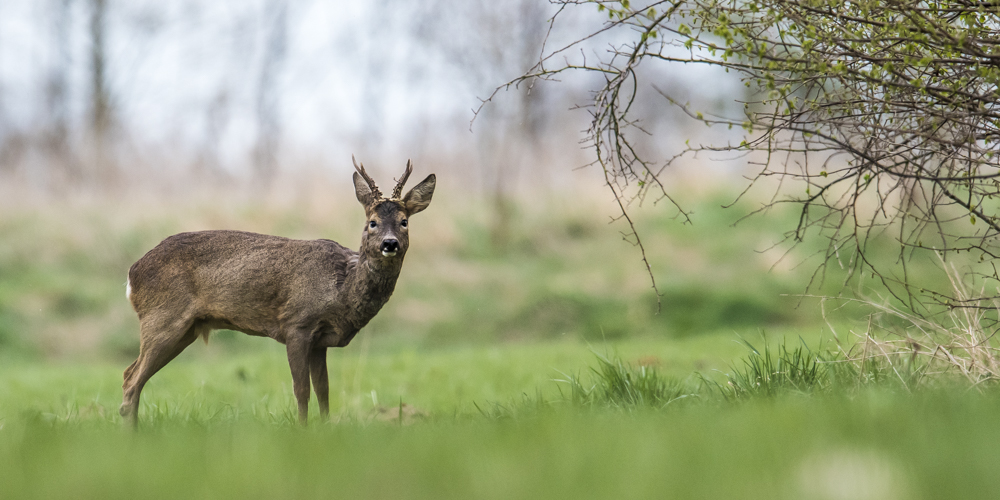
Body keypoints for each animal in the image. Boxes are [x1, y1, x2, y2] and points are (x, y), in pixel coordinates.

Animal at [120, 158, 434, 424]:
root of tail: (132, 273)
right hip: (163, 319)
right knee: (132, 380)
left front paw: (326, 429)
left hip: (186, 328)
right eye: (372, 223)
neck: (342, 289)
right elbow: (301, 389)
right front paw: (303, 430)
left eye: (404, 222)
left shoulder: (320, 340)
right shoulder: (296, 323)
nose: (390, 243)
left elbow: (323, 390)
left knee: (130, 375)